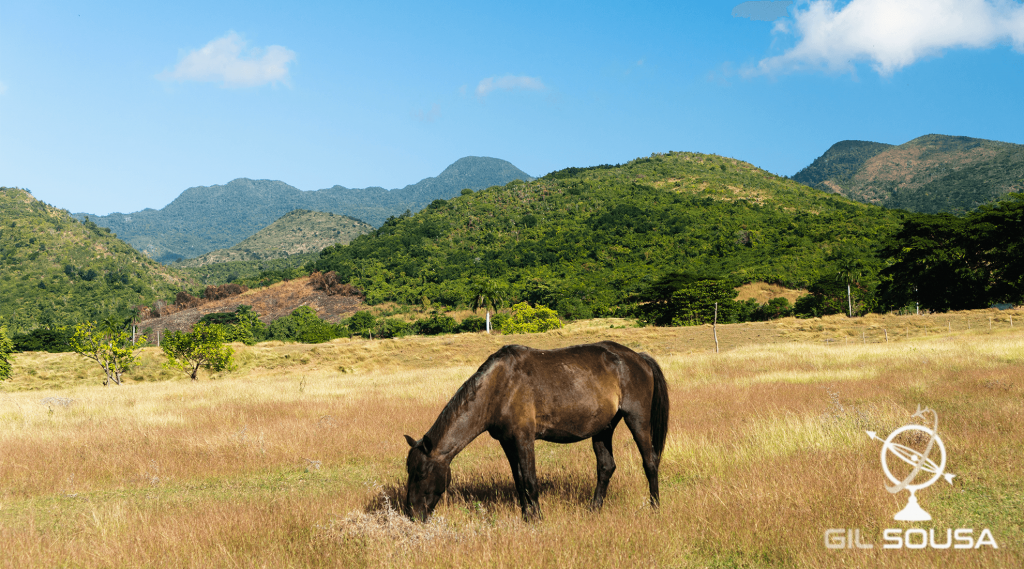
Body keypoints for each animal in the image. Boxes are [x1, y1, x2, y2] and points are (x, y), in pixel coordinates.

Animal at [403, 339, 667, 521]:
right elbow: (519, 480)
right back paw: (593, 509)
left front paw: (537, 517)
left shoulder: (524, 439)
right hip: (603, 428)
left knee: (650, 462)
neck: (499, 387)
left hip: (637, 419)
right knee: (606, 467)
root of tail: (639, 358)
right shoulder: (507, 442)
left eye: (421, 473)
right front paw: (525, 515)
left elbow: (530, 479)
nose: (412, 514)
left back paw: (655, 507)